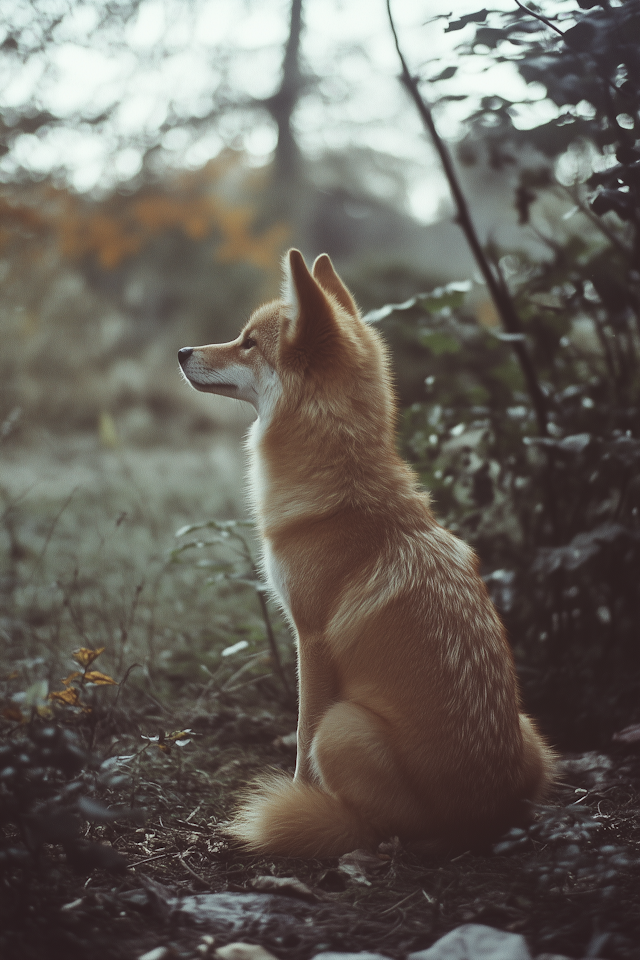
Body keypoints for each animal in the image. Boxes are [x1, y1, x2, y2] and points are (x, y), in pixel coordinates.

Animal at [176, 251, 556, 860]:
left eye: (248, 343)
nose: (182, 352)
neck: (344, 492)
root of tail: (485, 820)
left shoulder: (310, 640)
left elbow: (299, 737)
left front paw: (297, 796)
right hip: (532, 731)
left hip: (344, 727)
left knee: (380, 829)